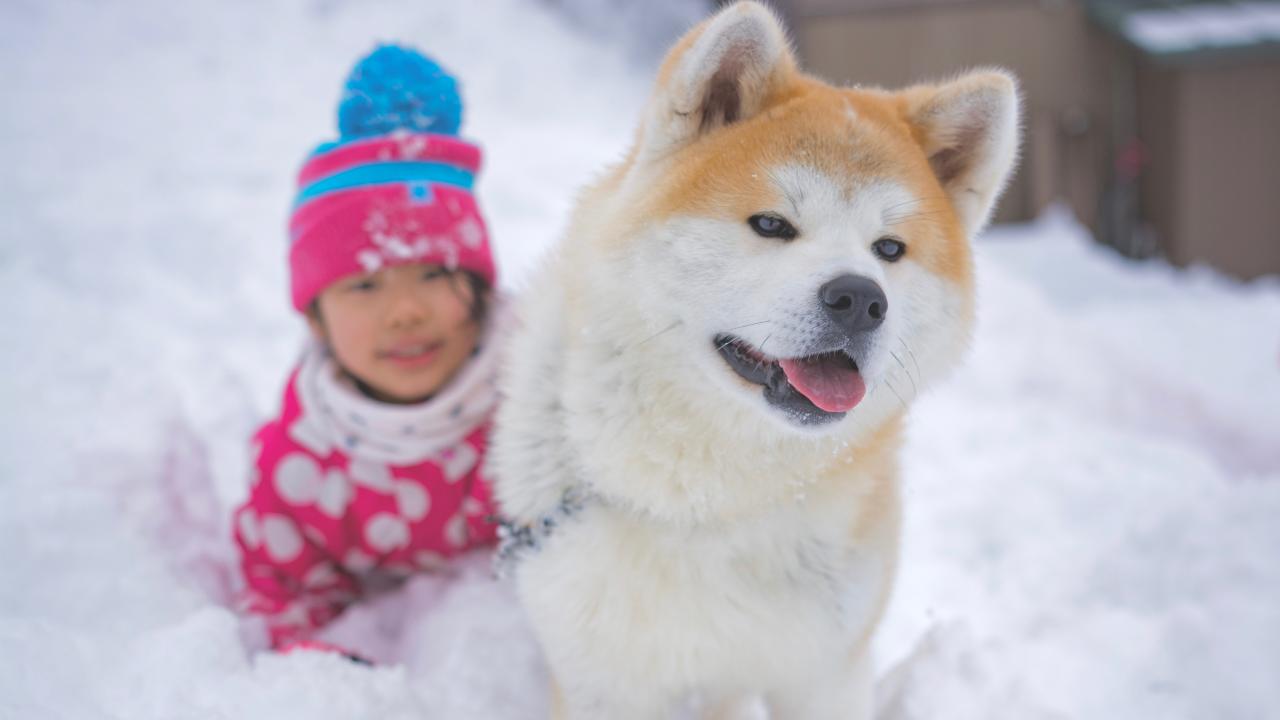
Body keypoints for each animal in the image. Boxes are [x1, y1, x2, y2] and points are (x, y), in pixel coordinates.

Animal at [488, 2, 1018, 712]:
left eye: (889, 249)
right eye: (771, 225)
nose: (860, 299)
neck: (708, 498)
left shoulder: (826, 672)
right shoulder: (604, 681)